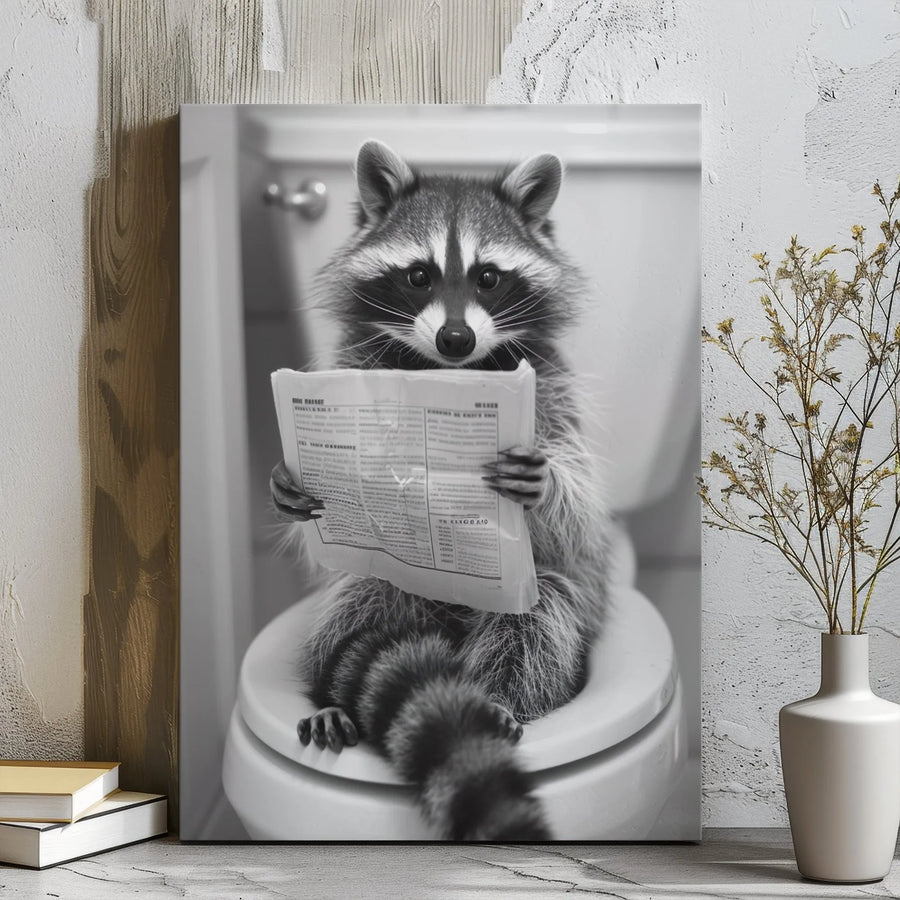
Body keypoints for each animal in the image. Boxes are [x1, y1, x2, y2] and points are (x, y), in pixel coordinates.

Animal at [269, 141, 609, 840]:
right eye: (419, 276)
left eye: (488, 277)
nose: (457, 338)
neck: (448, 375)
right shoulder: (355, 367)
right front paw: (288, 483)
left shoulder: (552, 386)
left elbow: (578, 507)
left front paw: (545, 485)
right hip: (393, 597)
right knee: (362, 595)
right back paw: (331, 694)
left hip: (552, 599)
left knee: (539, 613)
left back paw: (502, 697)